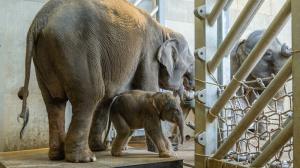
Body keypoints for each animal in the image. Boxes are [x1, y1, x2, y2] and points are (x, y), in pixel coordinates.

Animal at [18, 0, 195, 163]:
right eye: (192, 63)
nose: (190, 88)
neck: (165, 31)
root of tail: (40, 19)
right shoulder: (149, 53)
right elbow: (147, 87)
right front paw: (163, 152)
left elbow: (106, 100)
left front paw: (101, 148)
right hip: (75, 48)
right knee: (90, 94)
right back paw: (86, 158)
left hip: (44, 56)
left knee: (54, 102)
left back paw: (57, 156)